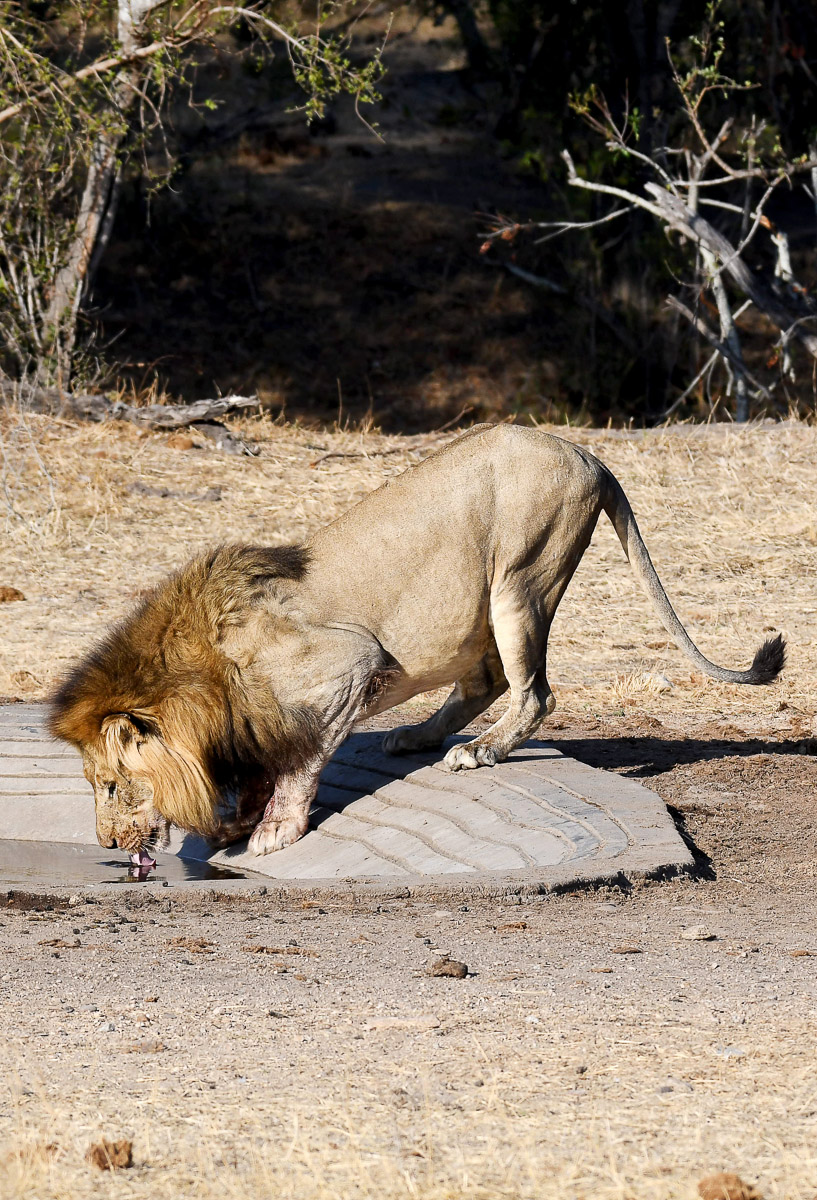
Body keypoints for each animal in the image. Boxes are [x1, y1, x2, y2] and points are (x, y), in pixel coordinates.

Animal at [49, 424, 785, 863]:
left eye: (111, 785)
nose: (107, 844)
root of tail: (589, 454)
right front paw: (246, 815)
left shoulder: (349, 664)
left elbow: (301, 762)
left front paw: (274, 830)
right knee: (487, 680)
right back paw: (416, 737)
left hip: (521, 575)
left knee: (534, 693)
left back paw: (478, 751)